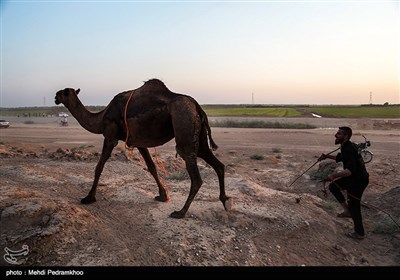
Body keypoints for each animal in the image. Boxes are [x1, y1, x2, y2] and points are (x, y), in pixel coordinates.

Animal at [54, 79, 233, 219]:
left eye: (64, 92)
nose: (55, 96)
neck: (101, 117)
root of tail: (196, 105)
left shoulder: (110, 136)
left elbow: (99, 167)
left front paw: (88, 198)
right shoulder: (138, 141)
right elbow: (151, 167)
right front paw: (163, 196)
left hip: (184, 121)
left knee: (195, 175)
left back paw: (180, 212)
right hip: (198, 134)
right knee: (217, 164)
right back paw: (226, 201)